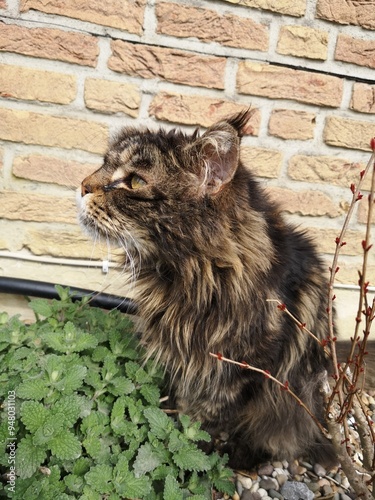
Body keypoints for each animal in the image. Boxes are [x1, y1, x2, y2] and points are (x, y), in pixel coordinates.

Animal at [78, 110, 336, 468]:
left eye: (136, 182)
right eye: (104, 164)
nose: (81, 186)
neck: (189, 277)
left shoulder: (238, 369)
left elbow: (203, 420)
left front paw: (192, 451)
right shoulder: (181, 357)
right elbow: (178, 398)